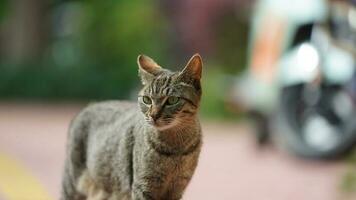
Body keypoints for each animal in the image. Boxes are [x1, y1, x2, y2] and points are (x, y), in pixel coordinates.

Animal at [61, 54, 203, 199]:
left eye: (172, 100)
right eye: (147, 99)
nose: (153, 115)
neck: (175, 148)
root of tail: (88, 106)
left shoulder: (177, 188)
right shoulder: (142, 186)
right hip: (72, 185)